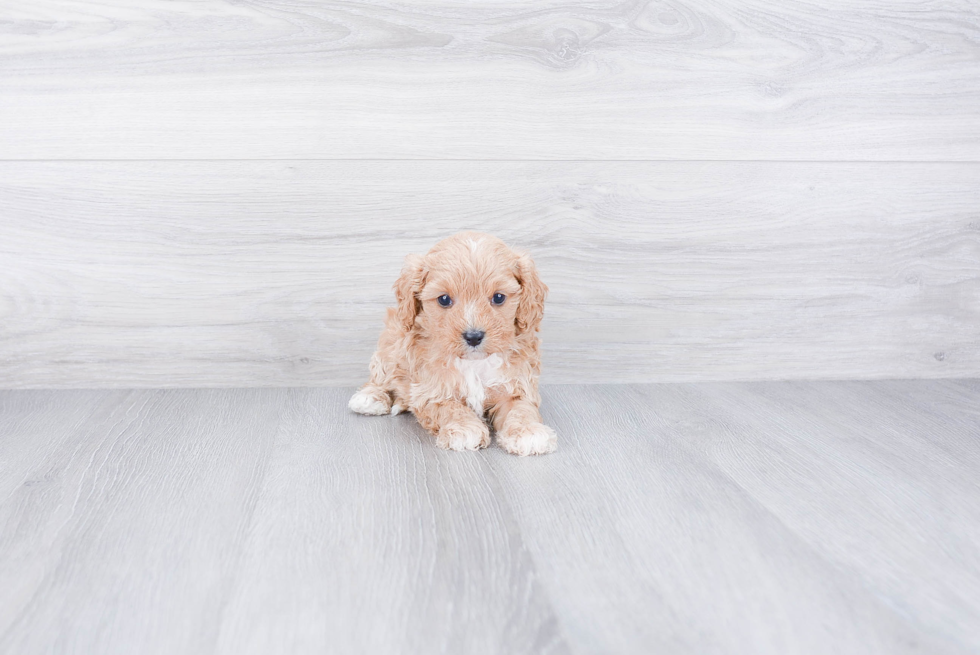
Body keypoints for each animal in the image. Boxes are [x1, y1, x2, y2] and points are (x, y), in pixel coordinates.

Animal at [348, 232, 556, 456]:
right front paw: (465, 429)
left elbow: (521, 409)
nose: (473, 336)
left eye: (499, 297)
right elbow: (450, 407)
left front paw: (528, 432)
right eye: (444, 299)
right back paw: (370, 398)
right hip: (389, 347)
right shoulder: (430, 391)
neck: (474, 363)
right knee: (380, 378)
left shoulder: (516, 386)